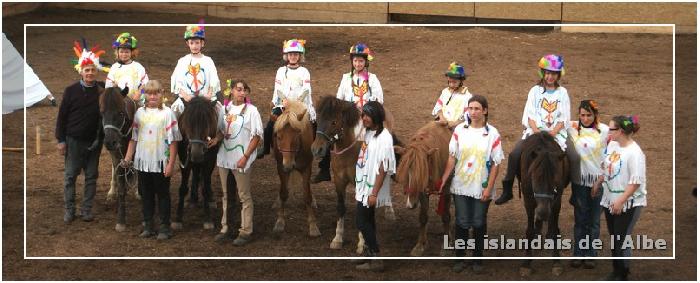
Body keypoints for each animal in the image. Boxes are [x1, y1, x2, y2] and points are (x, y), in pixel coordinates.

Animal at [274, 100, 320, 237]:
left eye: (296, 137)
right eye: (278, 137)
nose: (288, 165)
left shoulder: (306, 168)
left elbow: (307, 195)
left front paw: (313, 225)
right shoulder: (281, 168)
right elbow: (283, 193)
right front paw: (280, 222)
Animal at [394, 121, 454, 258]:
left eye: (421, 174)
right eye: (406, 174)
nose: (410, 205)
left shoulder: (446, 189)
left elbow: (445, 216)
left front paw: (447, 246)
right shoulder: (422, 192)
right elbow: (423, 217)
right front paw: (420, 245)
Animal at [520, 133, 568, 278]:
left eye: (555, 181)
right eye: (534, 178)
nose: (543, 213)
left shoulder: (556, 202)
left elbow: (554, 230)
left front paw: (556, 262)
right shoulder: (529, 201)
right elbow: (529, 230)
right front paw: (526, 264)